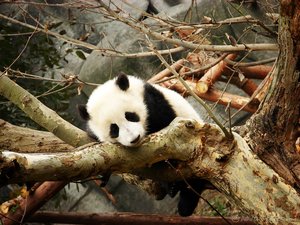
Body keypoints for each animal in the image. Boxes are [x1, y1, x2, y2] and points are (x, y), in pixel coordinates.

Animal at [78, 73, 209, 215]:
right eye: (114, 129)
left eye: (130, 116)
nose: (135, 138)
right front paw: (105, 174)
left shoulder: (152, 102)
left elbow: (168, 132)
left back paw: (182, 198)